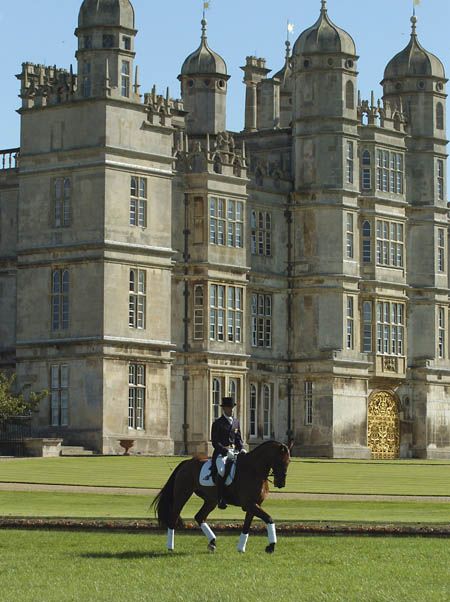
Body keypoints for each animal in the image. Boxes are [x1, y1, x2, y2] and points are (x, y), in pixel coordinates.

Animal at [152, 438, 292, 552]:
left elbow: (247, 526)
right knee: (173, 517)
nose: (281, 483)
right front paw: (271, 546)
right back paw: (170, 547)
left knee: (199, 517)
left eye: (289, 461)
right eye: (280, 461)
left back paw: (212, 542)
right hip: (182, 494)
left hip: (211, 500)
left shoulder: (254, 504)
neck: (254, 470)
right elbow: (269, 518)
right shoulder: (249, 504)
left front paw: (241, 548)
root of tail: (187, 462)